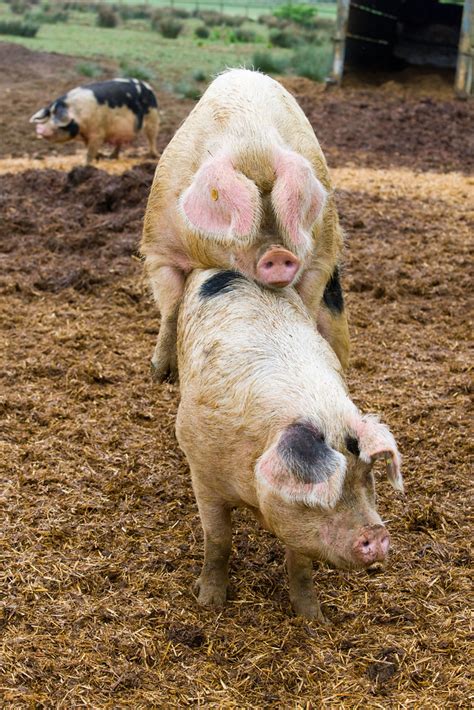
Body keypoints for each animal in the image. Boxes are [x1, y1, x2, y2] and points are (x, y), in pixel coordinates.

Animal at [30, 78, 159, 165]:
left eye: (57, 115)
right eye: (49, 114)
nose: (39, 129)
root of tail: (147, 85)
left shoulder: (97, 133)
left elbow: (90, 152)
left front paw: (85, 165)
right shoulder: (87, 135)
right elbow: (89, 148)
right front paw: (99, 157)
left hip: (153, 117)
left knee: (152, 138)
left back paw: (154, 156)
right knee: (119, 142)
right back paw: (111, 157)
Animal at [141, 68, 348, 384]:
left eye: (276, 200)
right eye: (249, 208)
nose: (278, 253)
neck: (251, 145)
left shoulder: (320, 258)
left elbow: (306, 306)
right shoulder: (159, 246)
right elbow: (171, 308)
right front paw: (160, 375)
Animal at [175, 270, 404, 620]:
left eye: (367, 475)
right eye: (325, 490)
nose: (376, 535)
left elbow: (301, 563)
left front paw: (315, 620)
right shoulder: (203, 474)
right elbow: (218, 539)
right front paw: (208, 603)